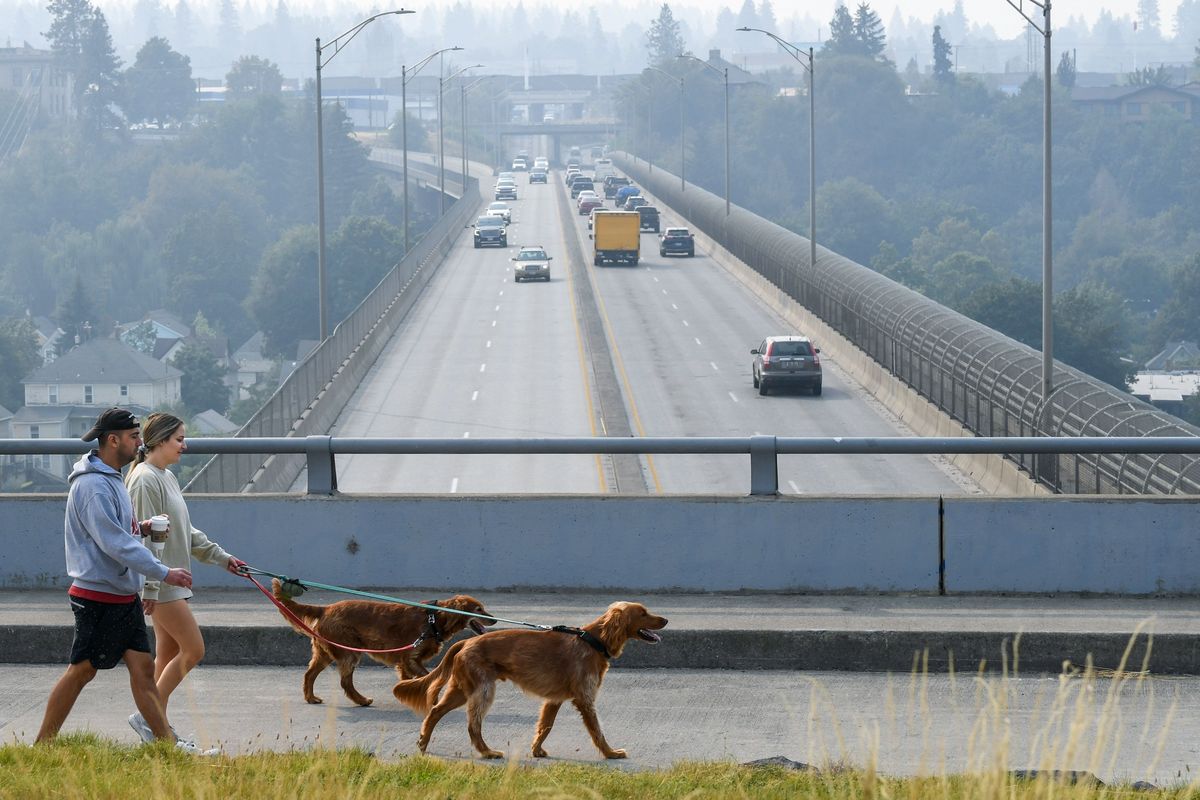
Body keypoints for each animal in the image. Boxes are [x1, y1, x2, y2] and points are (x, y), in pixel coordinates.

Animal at [271, 582, 492, 705]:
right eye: (478, 609)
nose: (494, 620)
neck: (434, 619)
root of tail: (326, 609)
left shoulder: (406, 662)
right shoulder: (410, 658)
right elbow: (427, 677)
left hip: (325, 652)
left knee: (309, 674)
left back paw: (311, 698)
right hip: (350, 652)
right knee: (345, 682)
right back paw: (361, 700)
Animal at [398, 604, 672, 762]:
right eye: (643, 613)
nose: (666, 620)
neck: (593, 640)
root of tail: (465, 641)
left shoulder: (554, 699)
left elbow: (545, 727)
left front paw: (537, 750)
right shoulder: (585, 699)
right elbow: (597, 731)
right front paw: (611, 753)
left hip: (462, 689)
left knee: (435, 711)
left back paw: (423, 743)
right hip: (483, 690)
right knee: (473, 725)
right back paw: (487, 752)